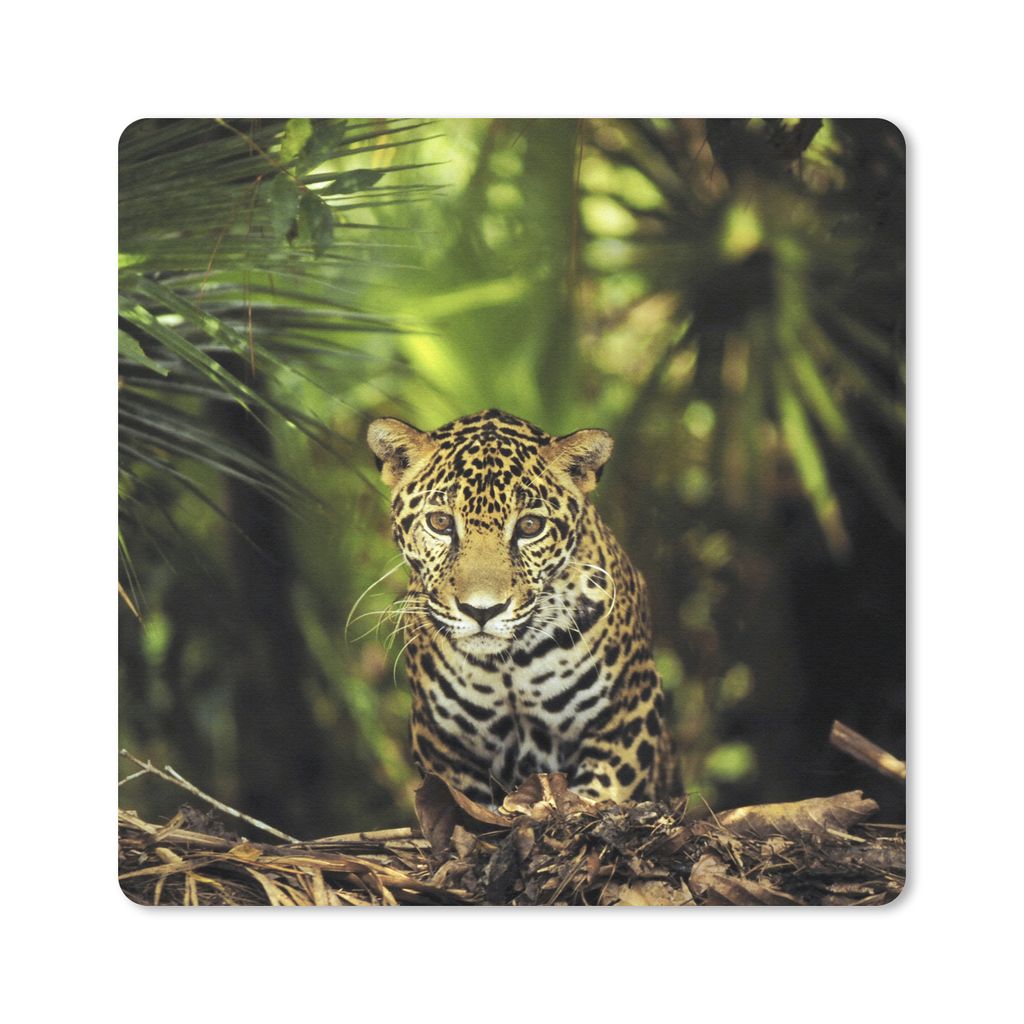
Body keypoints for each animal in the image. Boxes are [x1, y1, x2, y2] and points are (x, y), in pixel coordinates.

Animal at [366, 409, 675, 805]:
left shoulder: (630, 715)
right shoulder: (443, 744)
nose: (482, 611)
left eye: (530, 526)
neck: (509, 665)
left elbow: (599, 794)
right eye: (440, 522)